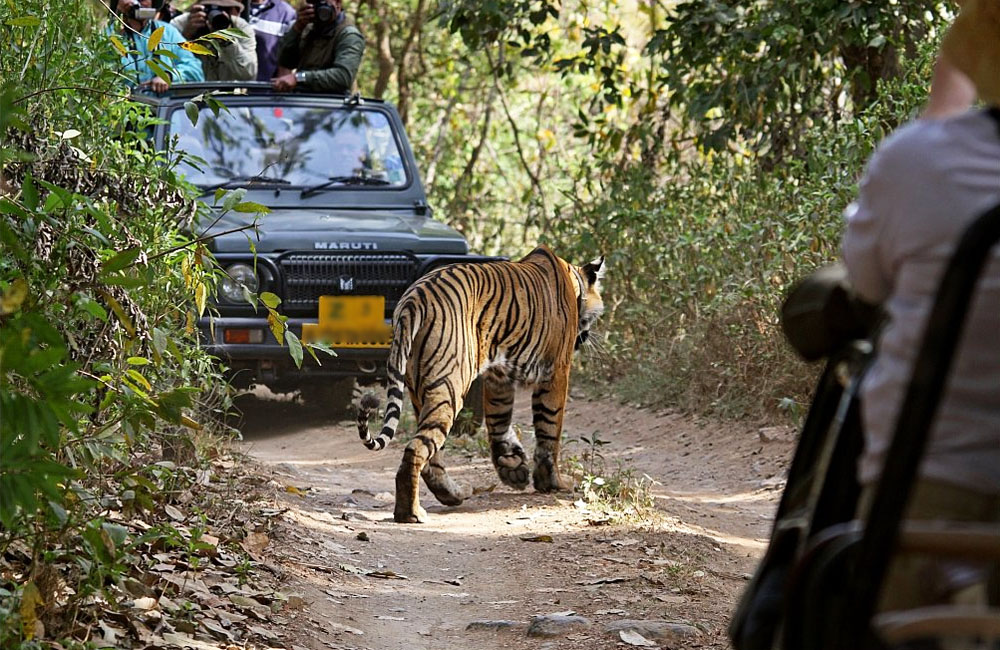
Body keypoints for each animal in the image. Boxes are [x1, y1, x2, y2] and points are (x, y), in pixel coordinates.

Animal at [356, 243, 604, 520]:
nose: (587, 337)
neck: (573, 282)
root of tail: (412, 299)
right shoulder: (557, 370)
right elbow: (550, 428)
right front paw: (552, 482)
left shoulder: (499, 376)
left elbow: (498, 421)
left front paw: (513, 468)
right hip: (450, 385)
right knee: (417, 449)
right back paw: (411, 513)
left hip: (418, 387)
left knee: (432, 456)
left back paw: (452, 494)